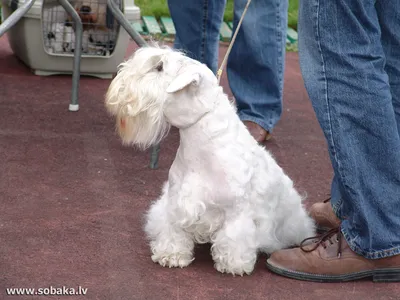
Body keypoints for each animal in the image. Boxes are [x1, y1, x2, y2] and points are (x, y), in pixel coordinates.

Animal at [104, 45, 318, 276]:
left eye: (159, 67)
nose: (117, 83)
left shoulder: (236, 211)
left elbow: (234, 237)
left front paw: (234, 264)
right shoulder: (176, 202)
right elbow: (174, 230)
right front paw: (171, 255)